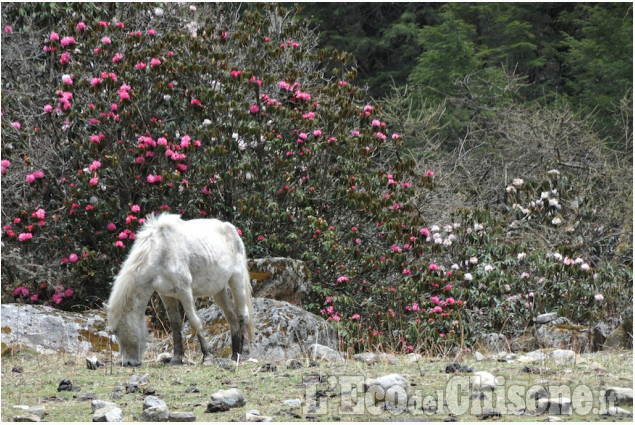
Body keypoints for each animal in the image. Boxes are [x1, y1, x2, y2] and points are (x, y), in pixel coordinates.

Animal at [107, 214, 253, 366]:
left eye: (116, 331)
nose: (128, 363)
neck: (161, 252)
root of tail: (232, 230)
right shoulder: (166, 295)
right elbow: (175, 324)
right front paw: (177, 357)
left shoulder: (185, 292)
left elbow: (194, 321)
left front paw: (207, 356)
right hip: (219, 290)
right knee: (231, 316)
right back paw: (235, 354)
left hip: (237, 280)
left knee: (243, 314)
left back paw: (244, 354)